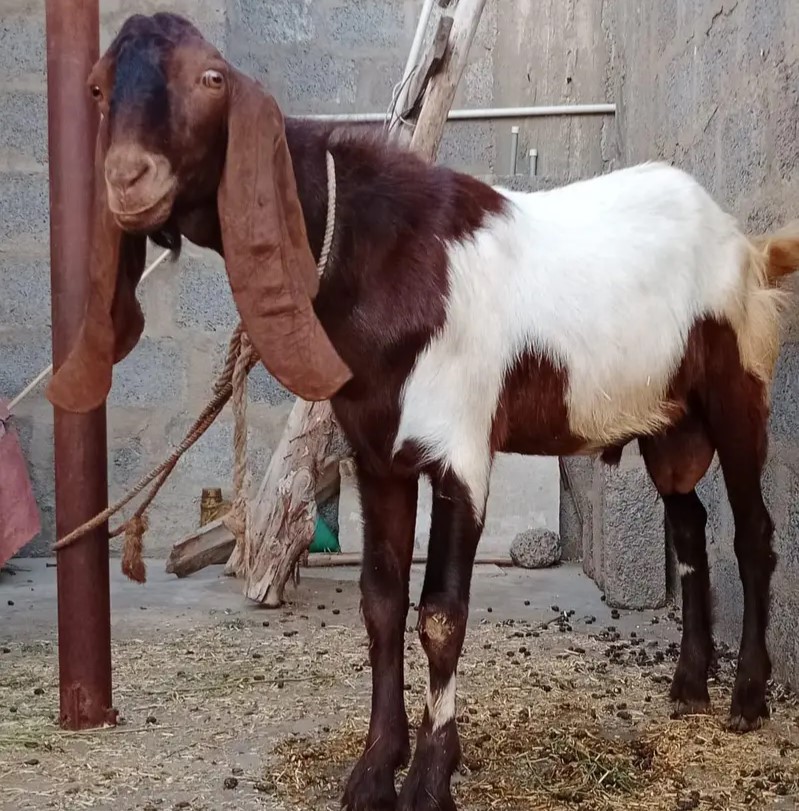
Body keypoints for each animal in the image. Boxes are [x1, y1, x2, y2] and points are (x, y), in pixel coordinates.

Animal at [46, 13, 799, 811]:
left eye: (210, 78)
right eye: (96, 87)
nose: (128, 179)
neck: (383, 256)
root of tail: (746, 247)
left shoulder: (459, 449)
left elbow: (440, 612)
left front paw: (432, 776)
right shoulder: (377, 453)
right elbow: (379, 602)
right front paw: (375, 767)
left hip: (737, 390)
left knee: (752, 533)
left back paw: (746, 699)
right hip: (667, 423)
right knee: (688, 527)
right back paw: (688, 687)